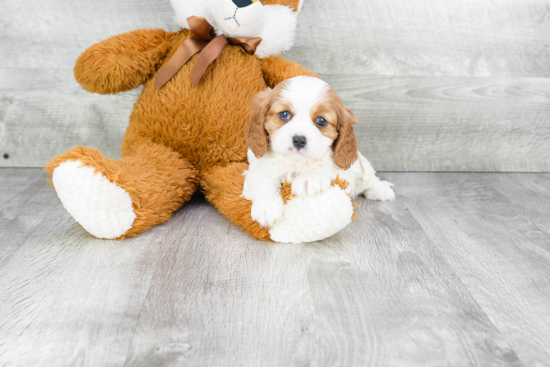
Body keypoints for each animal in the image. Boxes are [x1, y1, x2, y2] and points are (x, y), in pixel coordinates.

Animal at [244, 76, 394, 229]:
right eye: (284, 114)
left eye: (321, 120)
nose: (299, 140)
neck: (297, 161)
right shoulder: (257, 168)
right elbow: (264, 180)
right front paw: (266, 206)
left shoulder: (346, 171)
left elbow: (329, 167)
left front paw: (309, 179)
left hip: (363, 167)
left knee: (368, 180)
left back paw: (379, 190)